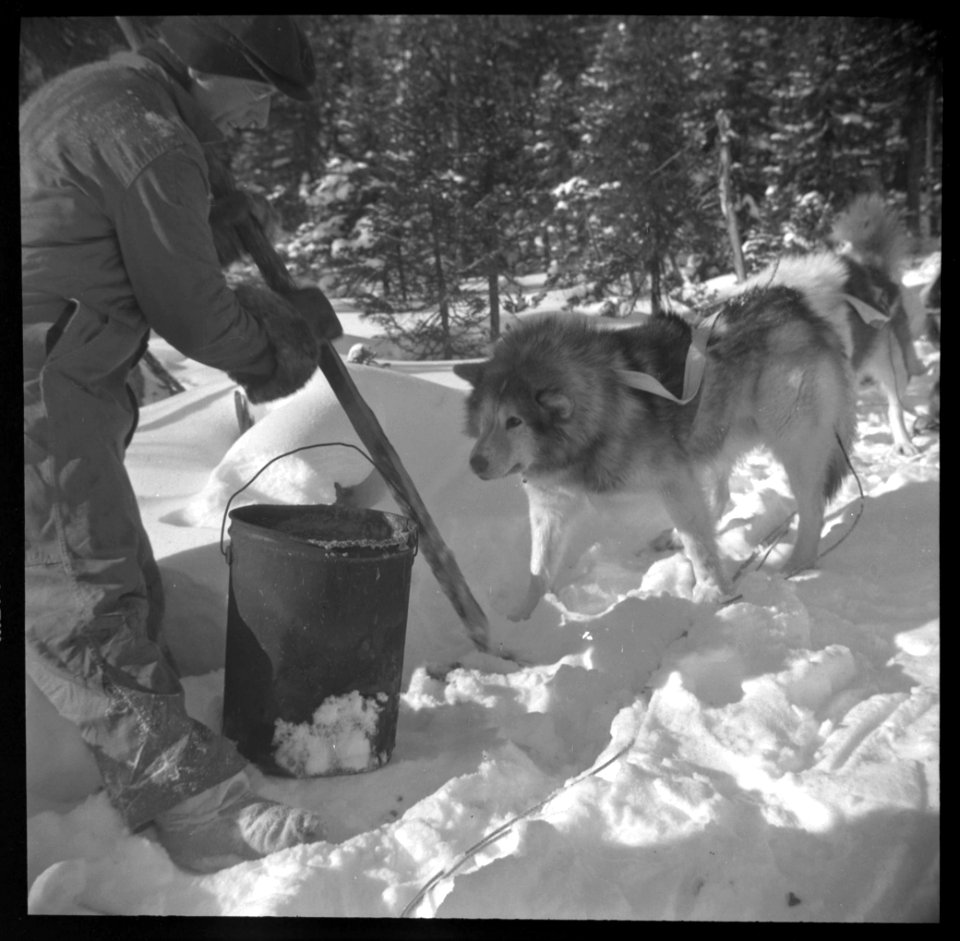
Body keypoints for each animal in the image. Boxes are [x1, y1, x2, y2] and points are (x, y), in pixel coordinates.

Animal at [456, 290, 856, 620]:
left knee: (811, 507)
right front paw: (522, 619)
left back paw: (797, 564)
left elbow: (701, 548)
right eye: (486, 419)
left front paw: (713, 594)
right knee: (719, 497)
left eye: (515, 421)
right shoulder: (550, 508)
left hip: (792, 443)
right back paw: (675, 537)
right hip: (708, 434)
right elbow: (538, 570)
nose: (474, 463)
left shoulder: (672, 479)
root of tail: (792, 304)